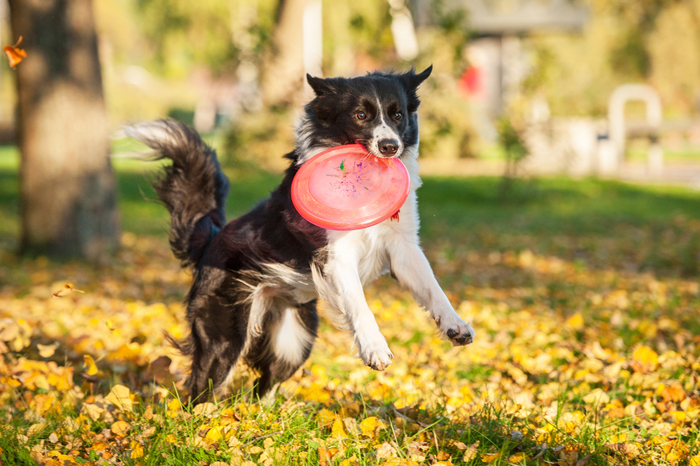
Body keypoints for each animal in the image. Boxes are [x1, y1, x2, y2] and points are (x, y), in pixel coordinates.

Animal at [127, 66, 476, 404]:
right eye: (361, 115)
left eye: (398, 115)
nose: (390, 147)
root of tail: (211, 240)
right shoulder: (335, 258)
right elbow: (359, 303)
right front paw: (374, 347)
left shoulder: (403, 247)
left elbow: (433, 288)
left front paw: (455, 325)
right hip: (226, 336)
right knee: (202, 389)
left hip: (293, 341)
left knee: (263, 387)